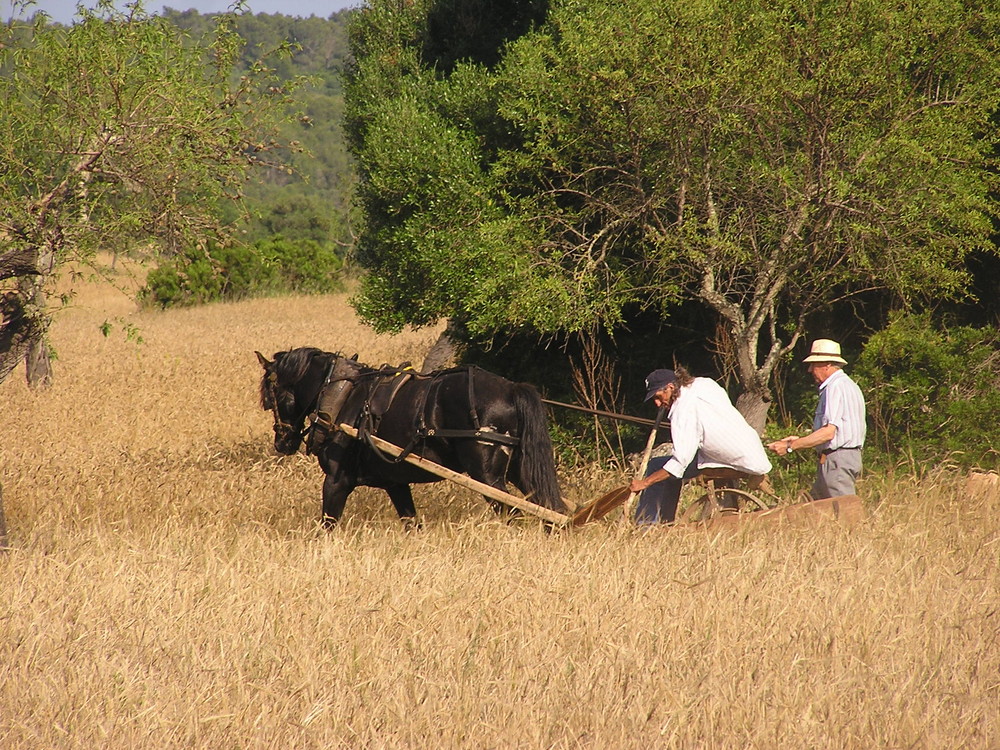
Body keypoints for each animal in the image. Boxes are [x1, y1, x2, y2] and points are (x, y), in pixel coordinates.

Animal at [254, 348, 568, 528]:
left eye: (270, 396)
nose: (282, 442)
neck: (341, 395)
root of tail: (512, 389)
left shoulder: (336, 481)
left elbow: (327, 525)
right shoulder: (396, 484)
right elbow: (411, 523)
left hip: (489, 478)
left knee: (516, 514)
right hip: (520, 469)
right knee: (551, 508)